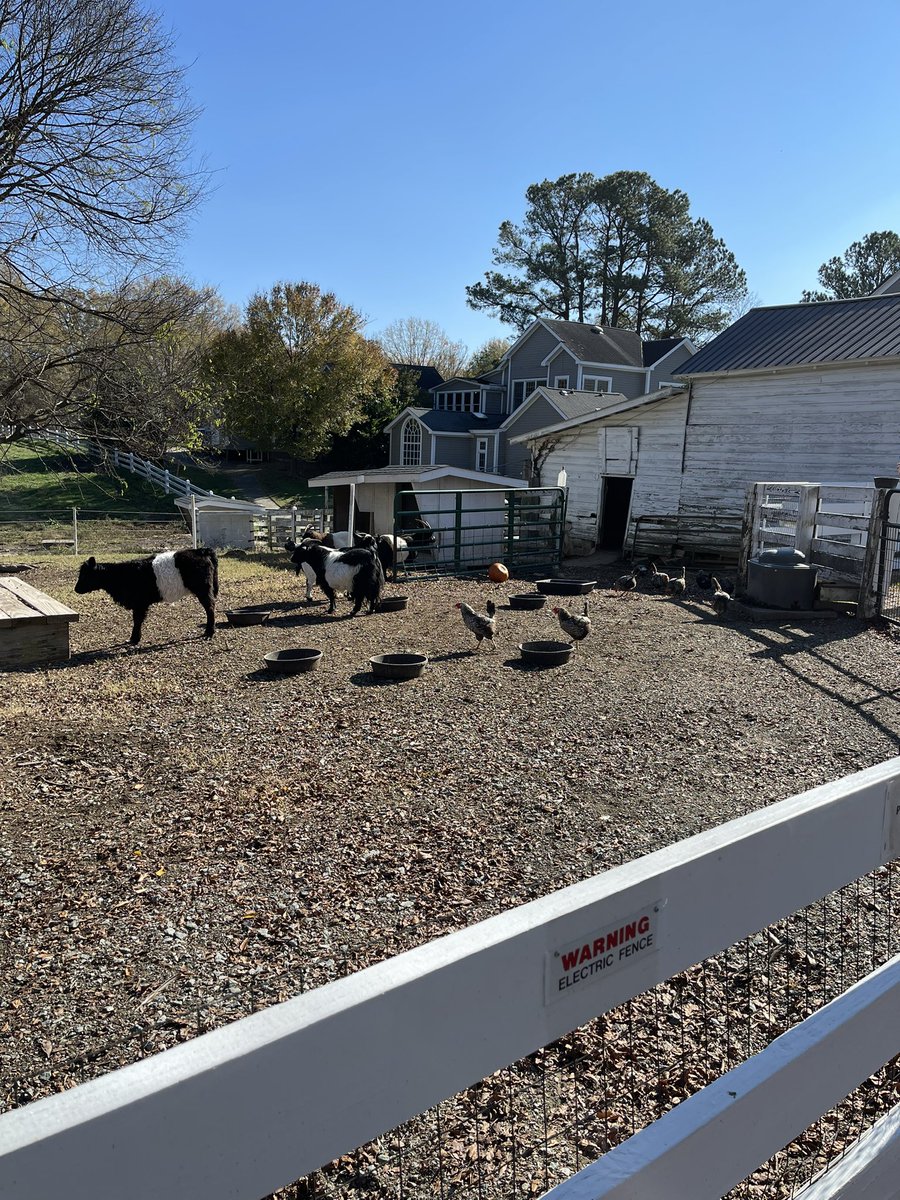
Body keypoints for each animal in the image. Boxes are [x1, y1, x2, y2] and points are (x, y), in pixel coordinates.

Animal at [74, 548, 219, 645]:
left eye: (85, 574)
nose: (76, 589)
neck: (122, 575)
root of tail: (201, 551)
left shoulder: (139, 603)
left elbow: (137, 620)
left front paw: (134, 639)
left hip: (203, 589)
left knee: (210, 607)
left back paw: (209, 632)